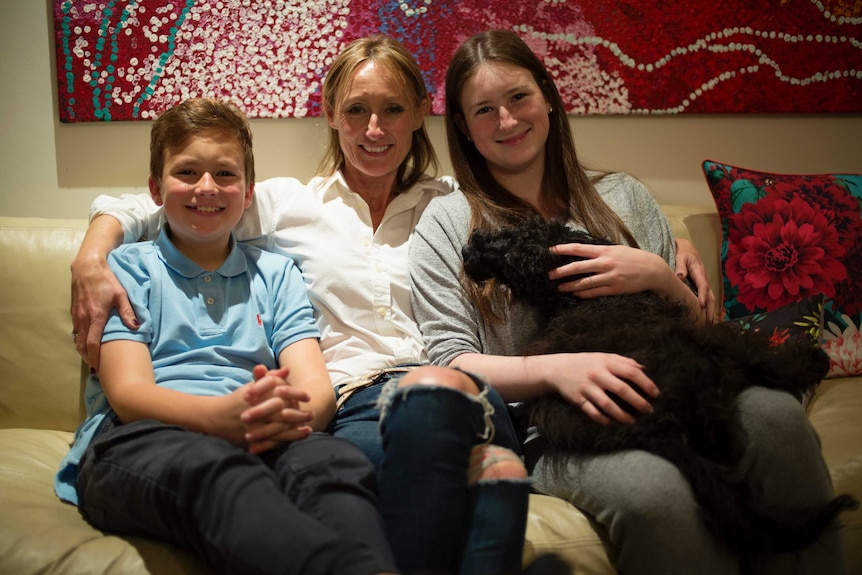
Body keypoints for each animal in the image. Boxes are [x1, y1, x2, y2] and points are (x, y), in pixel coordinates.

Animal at [462, 217, 860, 560]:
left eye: (513, 241)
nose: (470, 250)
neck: (584, 299)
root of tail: (661, 426)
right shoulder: (714, 338)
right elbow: (761, 354)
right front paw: (809, 360)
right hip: (706, 365)